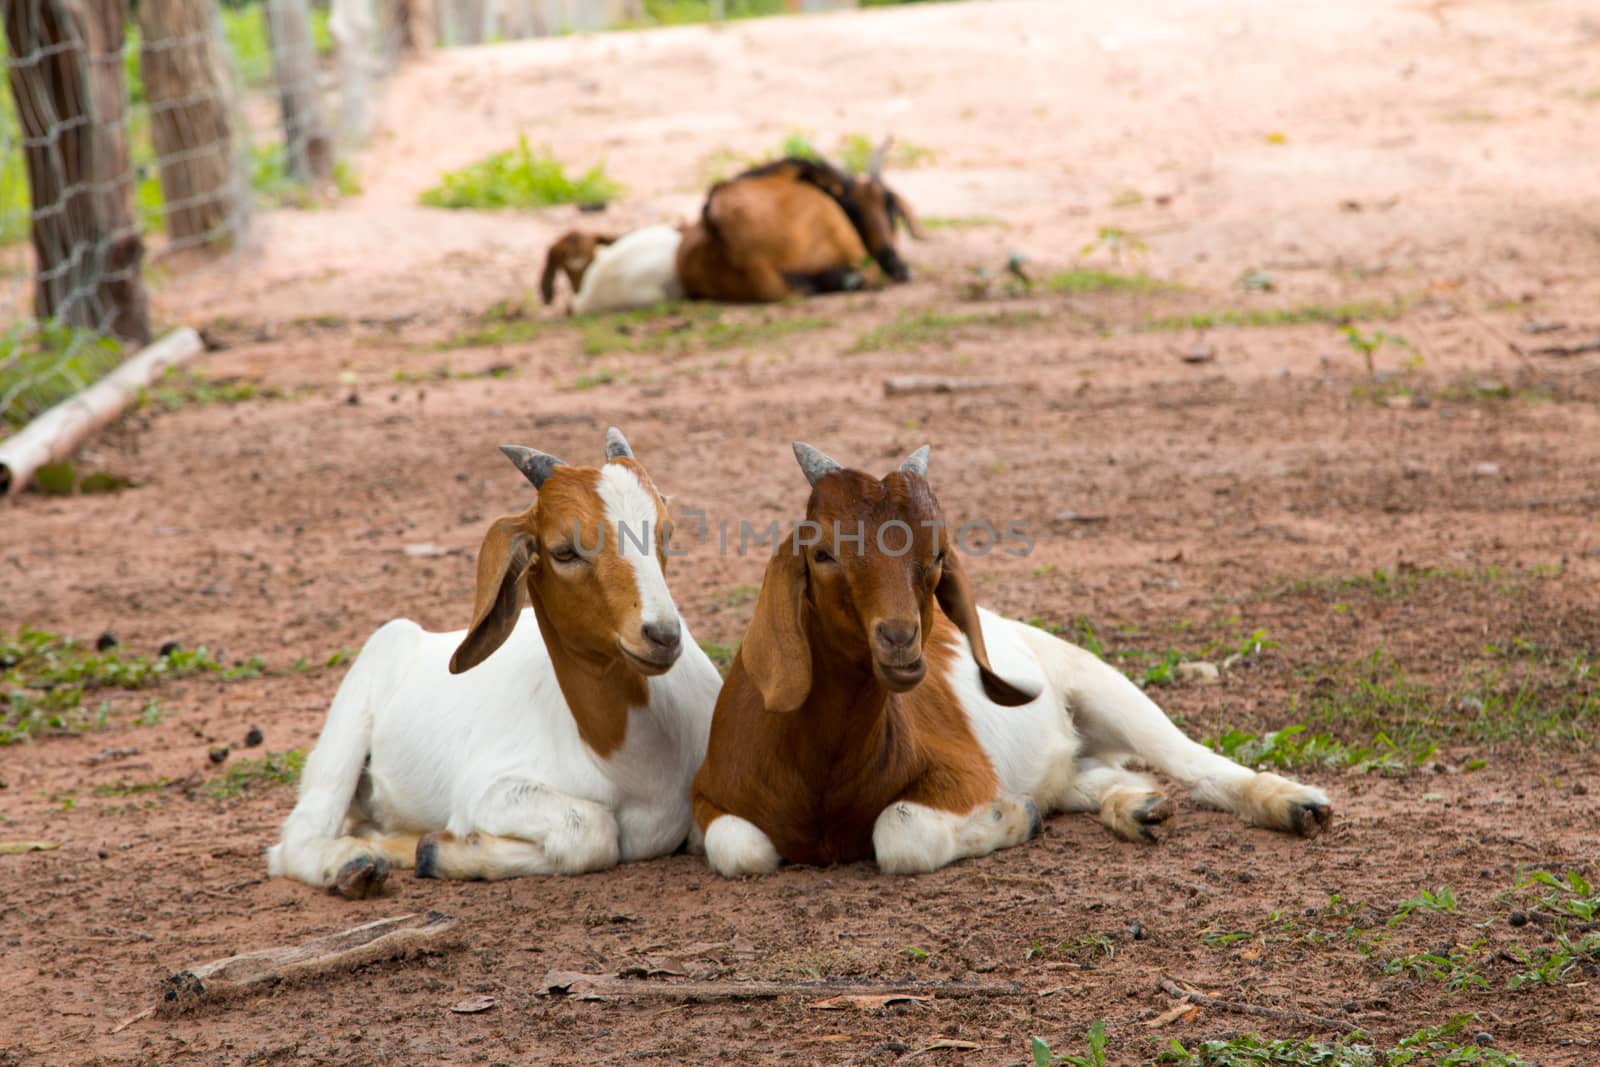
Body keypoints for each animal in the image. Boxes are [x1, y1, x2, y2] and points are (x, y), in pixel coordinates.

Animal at [265, 428, 716, 895]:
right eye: (564, 551)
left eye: (665, 533)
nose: (662, 635)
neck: (627, 765)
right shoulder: (484, 791)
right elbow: (592, 831)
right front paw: (444, 851)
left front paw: (436, 849)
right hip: (351, 718)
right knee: (293, 842)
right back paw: (355, 865)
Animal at [694, 444, 1331, 876]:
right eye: (823, 553)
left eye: (936, 554)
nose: (900, 640)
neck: (819, 774)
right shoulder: (707, 800)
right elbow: (741, 849)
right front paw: (1026, 813)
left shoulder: (963, 774)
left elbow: (899, 834)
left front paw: (1012, 818)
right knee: (1098, 775)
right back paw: (1137, 807)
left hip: (1100, 683)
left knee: (1193, 763)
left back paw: (1293, 804)